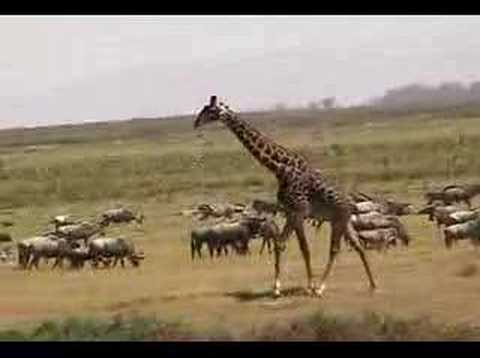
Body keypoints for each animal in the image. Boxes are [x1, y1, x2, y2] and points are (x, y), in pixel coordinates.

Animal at [193, 96, 376, 298]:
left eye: (210, 111)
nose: (195, 123)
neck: (281, 169)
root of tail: (352, 205)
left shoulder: (299, 211)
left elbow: (295, 247)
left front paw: (297, 287)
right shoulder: (290, 212)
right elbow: (290, 246)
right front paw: (290, 287)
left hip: (339, 220)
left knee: (335, 249)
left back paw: (321, 288)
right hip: (343, 222)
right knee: (358, 245)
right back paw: (372, 284)